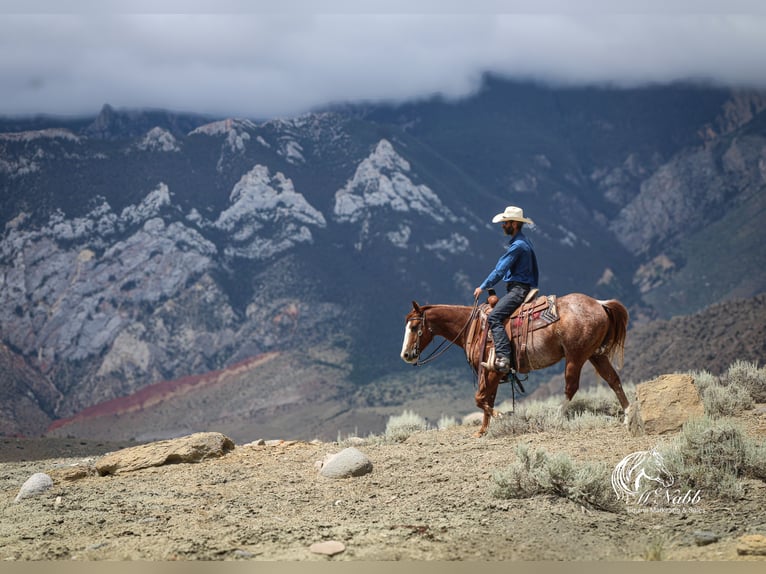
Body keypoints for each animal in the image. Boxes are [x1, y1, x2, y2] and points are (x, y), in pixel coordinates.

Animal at [400, 294, 632, 437]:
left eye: (414, 327)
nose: (405, 355)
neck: (473, 327)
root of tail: (599, 303)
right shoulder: (491, 372)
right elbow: (487, 399)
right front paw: (482, 431)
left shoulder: (492, 370)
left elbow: (480, 399)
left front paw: (502, 417)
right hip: (595, 355)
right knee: (613, 380)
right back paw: (629, 417)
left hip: (576, 356)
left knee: (571, 387)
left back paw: (555, 417)